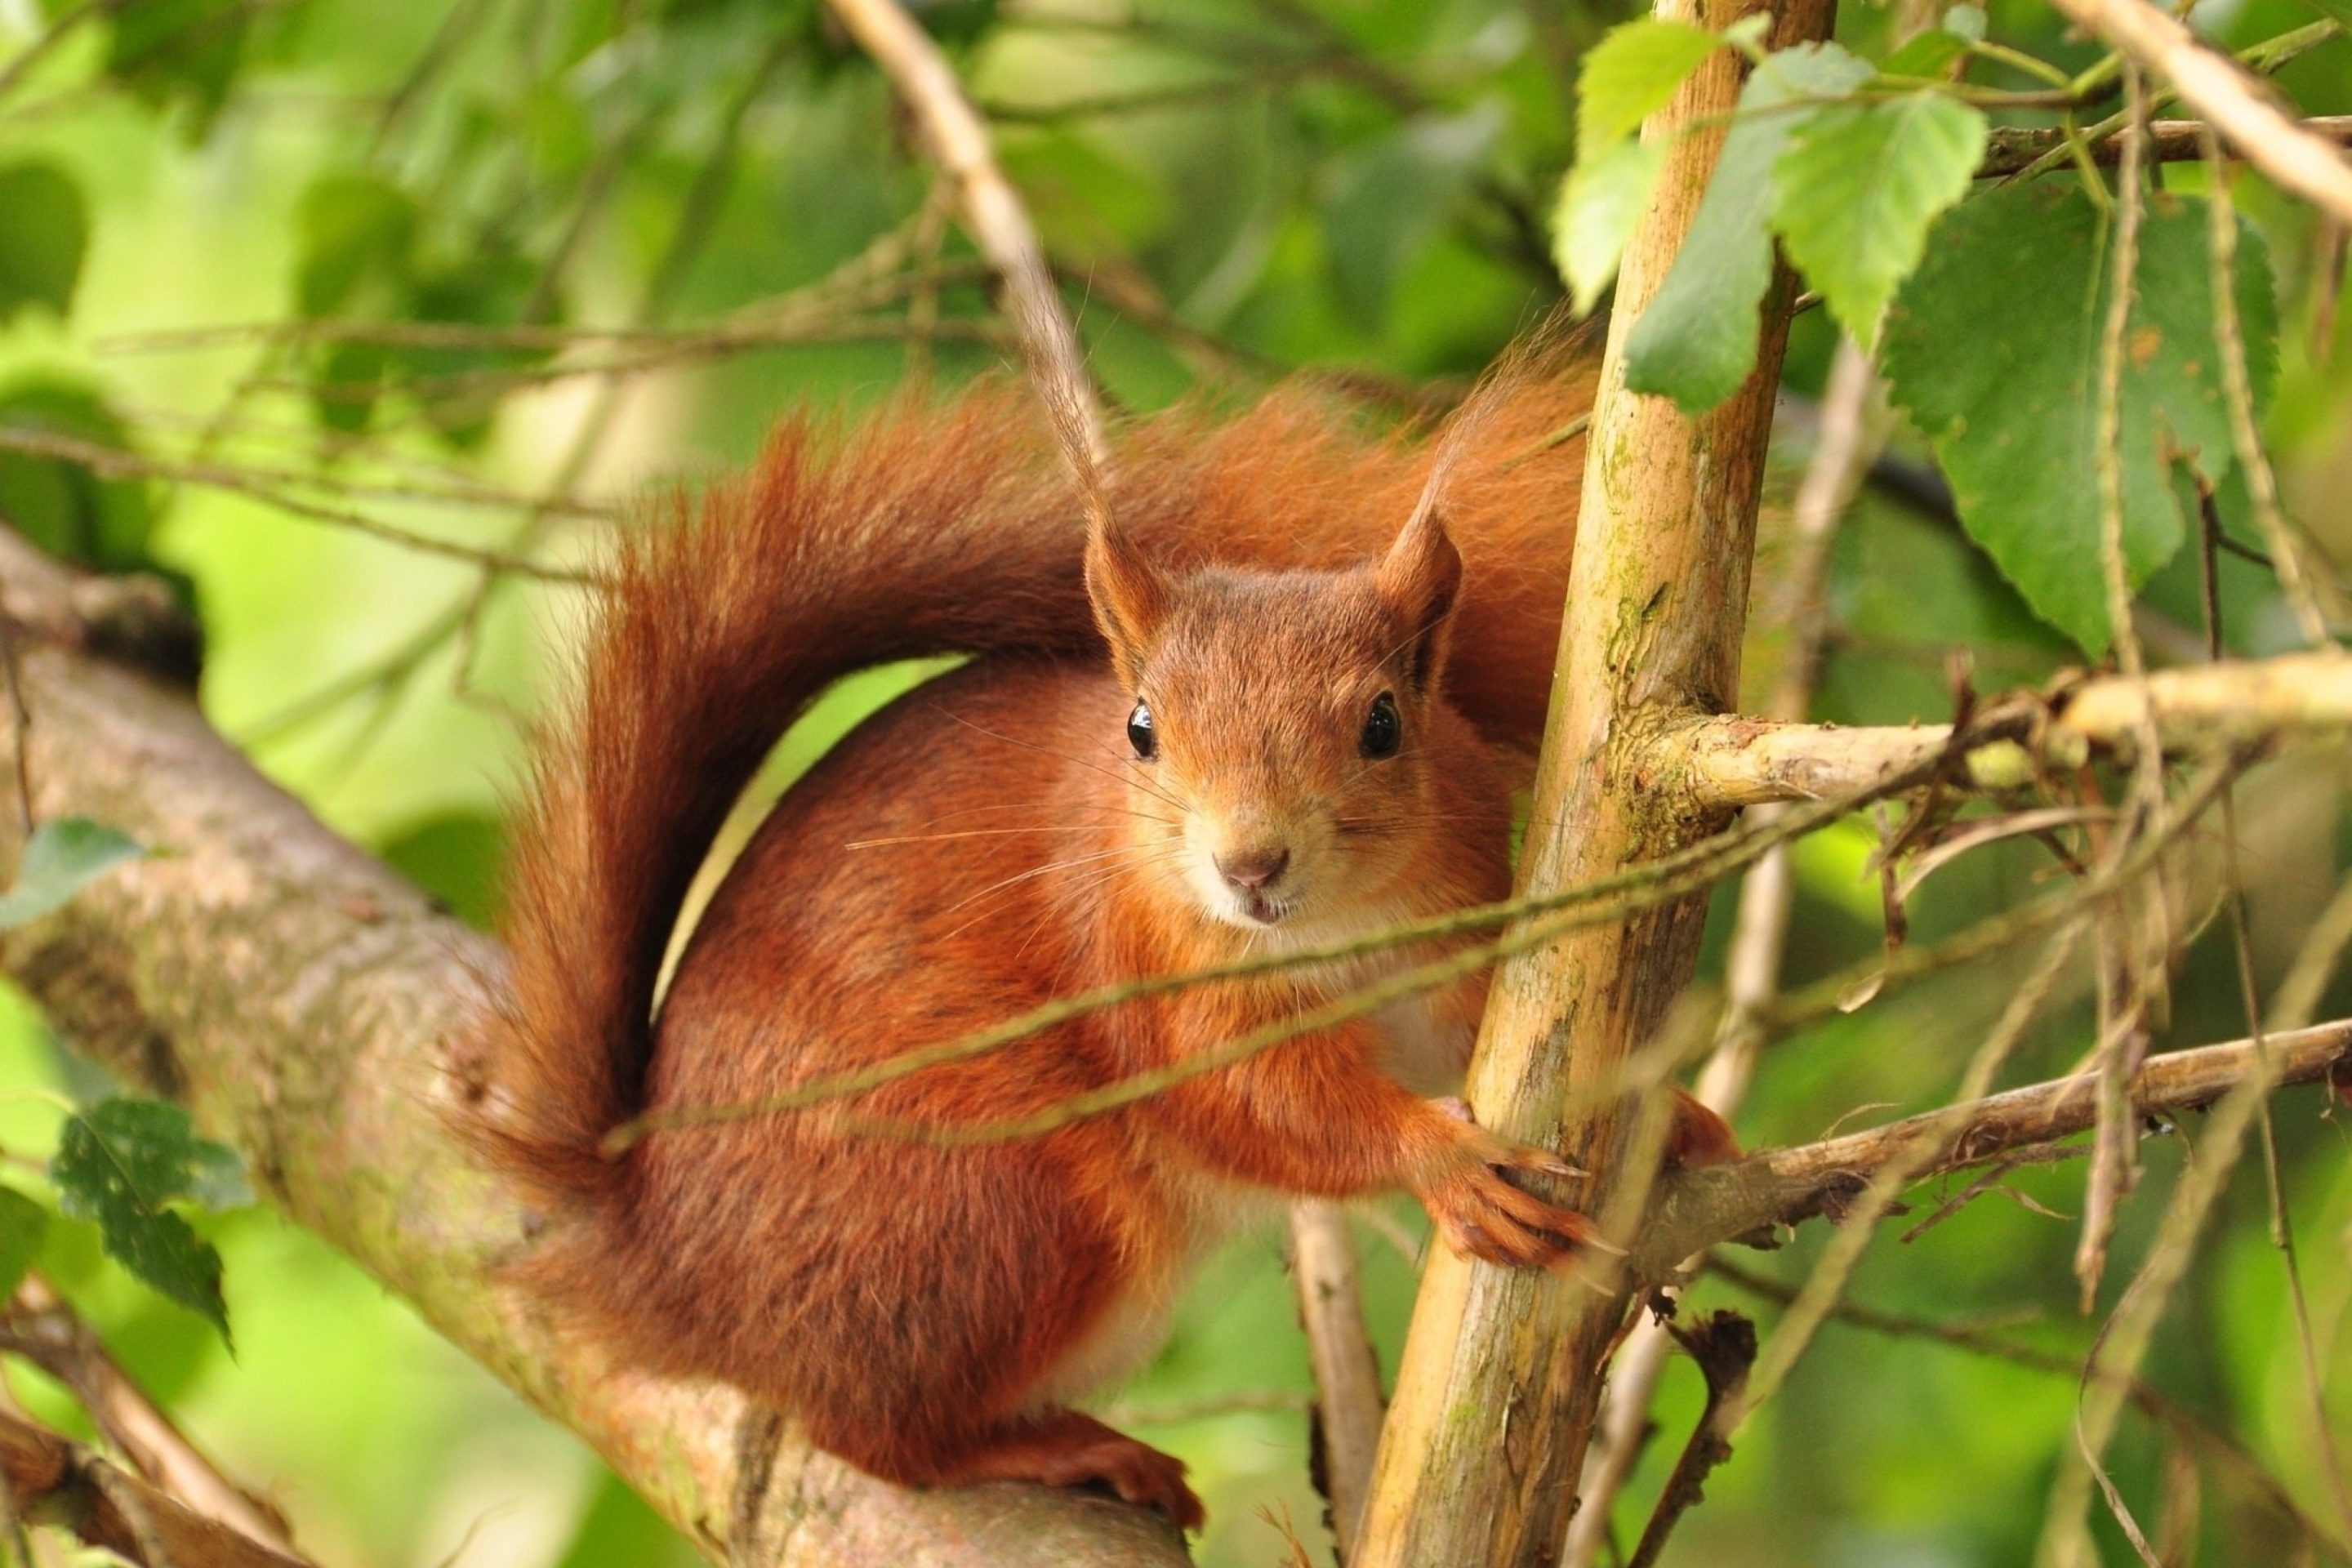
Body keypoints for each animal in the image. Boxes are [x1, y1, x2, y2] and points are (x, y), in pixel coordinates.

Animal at [477, 359, 1740, 1532]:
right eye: (1141, 729)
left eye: (1384, 723)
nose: (1249, 866)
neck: (1332, 929)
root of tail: (666, 1269)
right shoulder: (1142, 970)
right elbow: (1254, 1102)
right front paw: (1443, 1162)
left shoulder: (1452, 927)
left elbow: (1483, 1029)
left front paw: (1668, 1110)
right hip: (1004, 1206)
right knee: (873, 1434)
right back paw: (1057, 1448)